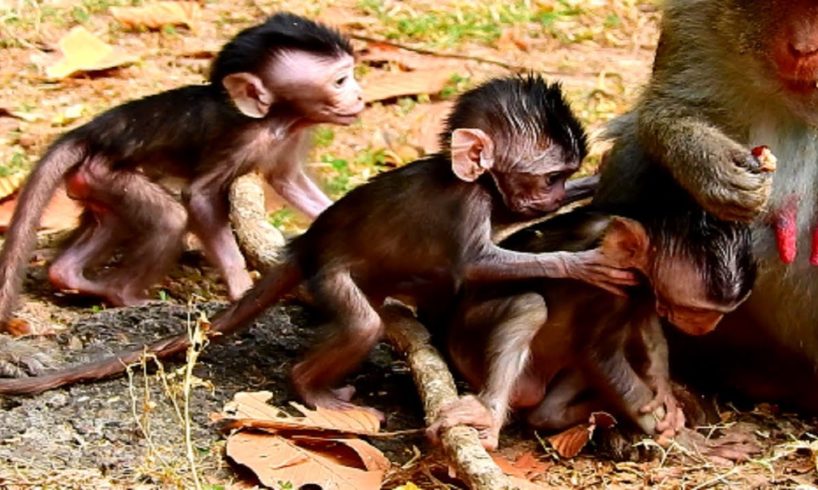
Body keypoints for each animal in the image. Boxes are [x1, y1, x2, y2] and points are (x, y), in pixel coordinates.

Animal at [0, 12, 364, 330]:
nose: (359, 96)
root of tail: (93, 131)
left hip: (92, 180)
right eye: (340, 80)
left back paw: (71, 276)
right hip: (104, 172)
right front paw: (240, 286)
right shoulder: (239, 140)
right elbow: (199, 195)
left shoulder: (290, 136)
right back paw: (123, 295)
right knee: (170, 217)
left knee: (110, 221)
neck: (275, 119)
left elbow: (289, 182)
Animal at [0, 74, 636, 414]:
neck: (471, 180)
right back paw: (311, 387)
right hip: (331, 273)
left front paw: (595, 185)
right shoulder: (466, 208)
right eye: (547, 177)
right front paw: (581, 263)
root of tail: (306, 247)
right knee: (362, 324)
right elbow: (477, 266)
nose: (557, 192)